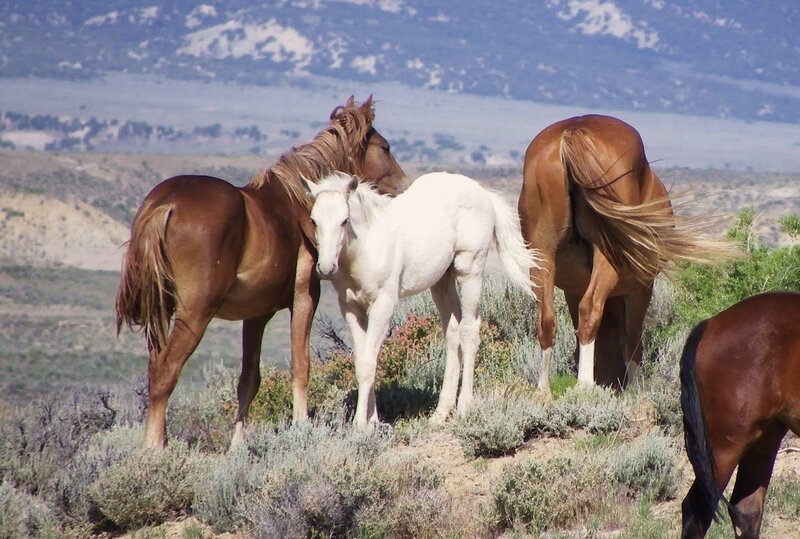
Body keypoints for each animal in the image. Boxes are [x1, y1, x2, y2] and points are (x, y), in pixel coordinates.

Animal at [115, 96, 409, 449]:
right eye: (385, 147)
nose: (405, 186)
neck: (297, 204)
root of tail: (166, 205)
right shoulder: (304, 298)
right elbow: (301, 365)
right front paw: (300, 426)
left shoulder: (256, 315)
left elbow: (248, 381)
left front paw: (237, 446)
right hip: (194, 314)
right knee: (165, 371)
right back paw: (155, 448)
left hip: (162, 309)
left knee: (155, 368)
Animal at [303, 171, 539, 427]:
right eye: (313, 220)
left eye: (344, 220)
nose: (326, 268)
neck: (366, 247)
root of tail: (484, 193)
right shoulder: (351, 308)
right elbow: (363, 361)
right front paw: (373, 421)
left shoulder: (383, 305)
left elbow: (367, 364)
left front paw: (360, 425)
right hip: (442, 281)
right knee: (452, 331)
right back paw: (441, 412)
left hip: (470, 270)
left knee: (469, 329)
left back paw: (464, 407)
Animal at [517, 114, 733, 394]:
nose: (611, 381)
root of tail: (573, 131)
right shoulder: (641, 289)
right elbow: (633, 341)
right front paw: (635, 388)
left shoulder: (572, 290)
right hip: (607, 259)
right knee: (591, 309)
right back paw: (585, 385)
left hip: (542, 256)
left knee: (546, 319)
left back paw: (544, 389)